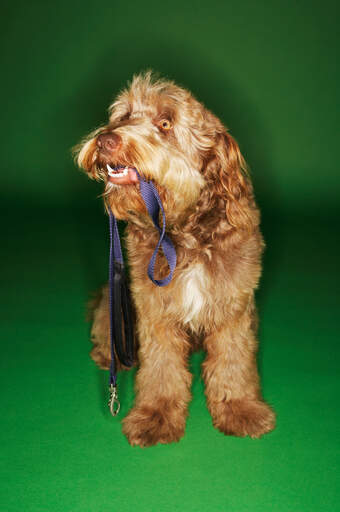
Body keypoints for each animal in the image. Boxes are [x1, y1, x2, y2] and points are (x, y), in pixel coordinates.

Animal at [75, 70, 274, 446]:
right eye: (124, 116)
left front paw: (239, 409)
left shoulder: (233, 305)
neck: (185, 236)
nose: (106, 139)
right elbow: (161, 368)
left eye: (165, 123)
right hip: (116, 298)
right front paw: (156, 415)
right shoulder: (154, 310)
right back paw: (109, 355)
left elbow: (233, 360)